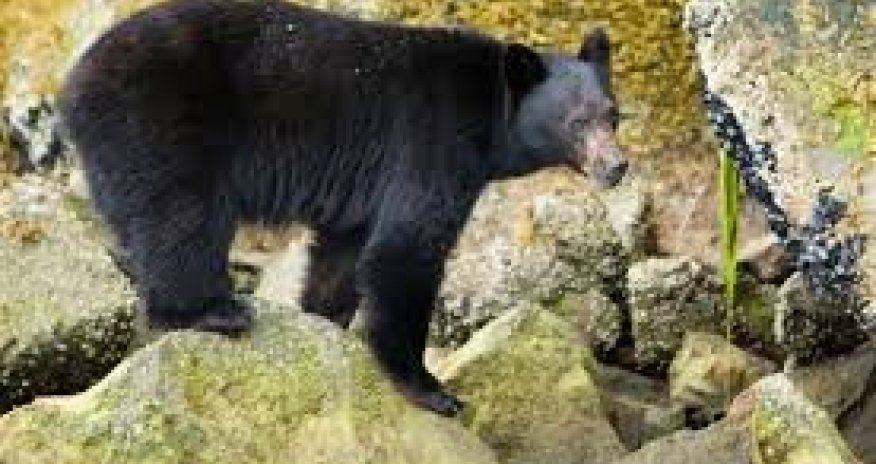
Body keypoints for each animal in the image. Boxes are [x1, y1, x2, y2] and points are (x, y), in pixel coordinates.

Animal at [58, 0, 627, 416]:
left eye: (613, 114)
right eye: (577, 122)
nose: (617, 166)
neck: (490, 109)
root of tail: (71, 86)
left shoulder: (362, 189)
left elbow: (345, 249)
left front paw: (324, 318)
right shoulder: (432, 142)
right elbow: (407, 248)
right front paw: (430, 388)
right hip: (157, 119)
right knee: (180, 215)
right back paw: (212, 311)